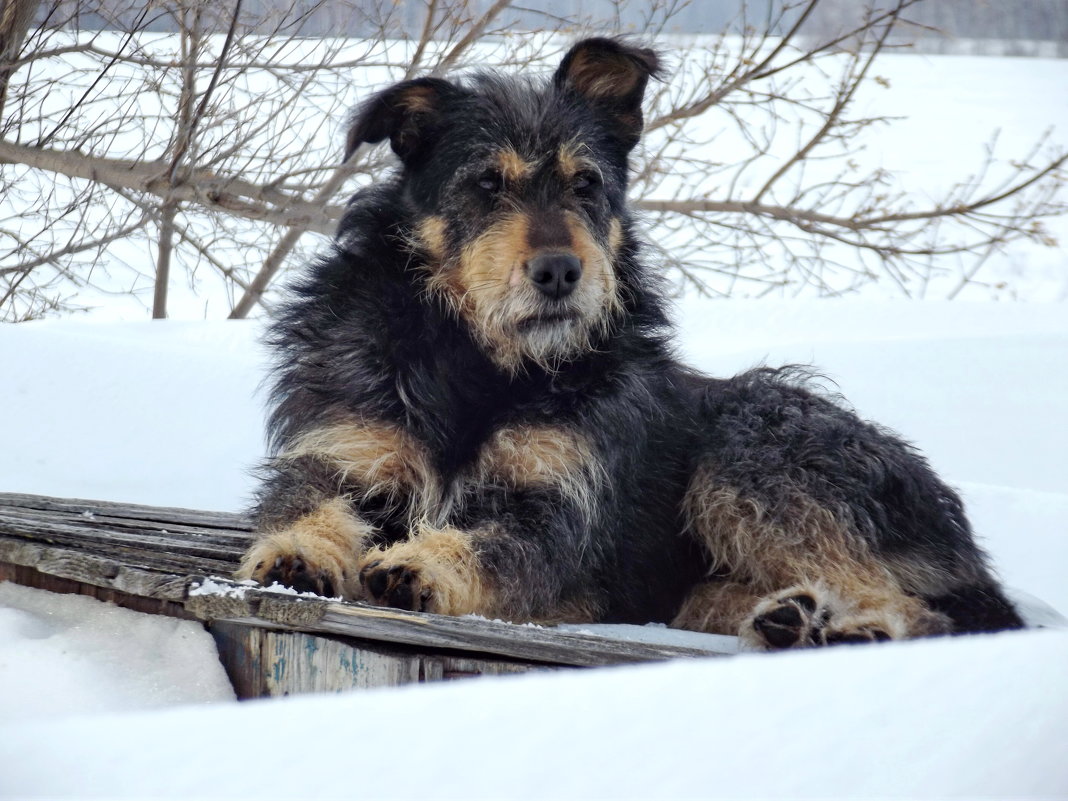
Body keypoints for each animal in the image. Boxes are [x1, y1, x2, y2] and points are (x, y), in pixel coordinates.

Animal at [238, 39, 1021, 653]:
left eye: (587, 182)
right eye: (486, 182)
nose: (560, 271)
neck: (480, 362)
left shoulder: (560, 508)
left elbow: (500, 544)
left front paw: (422, 565)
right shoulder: (341, 450)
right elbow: (304, 502)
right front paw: (298, 551)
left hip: (759, 439)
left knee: (923, 602)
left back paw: (859, 627)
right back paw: (790, 617)